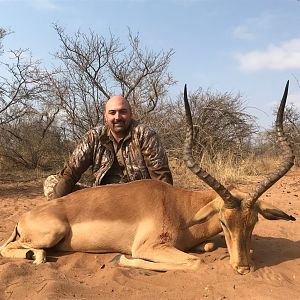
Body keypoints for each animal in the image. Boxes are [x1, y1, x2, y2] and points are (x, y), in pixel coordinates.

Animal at [0, 81, 296, 274]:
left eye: (253, 221)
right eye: (223, 221)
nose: (243, 268)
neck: (180, 208)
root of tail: (24, 217)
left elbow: (206, 249)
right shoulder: (148, 247)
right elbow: (194, 261)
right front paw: (121, 261)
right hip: (52, 232)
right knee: (9, 247)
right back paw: (37, 256)